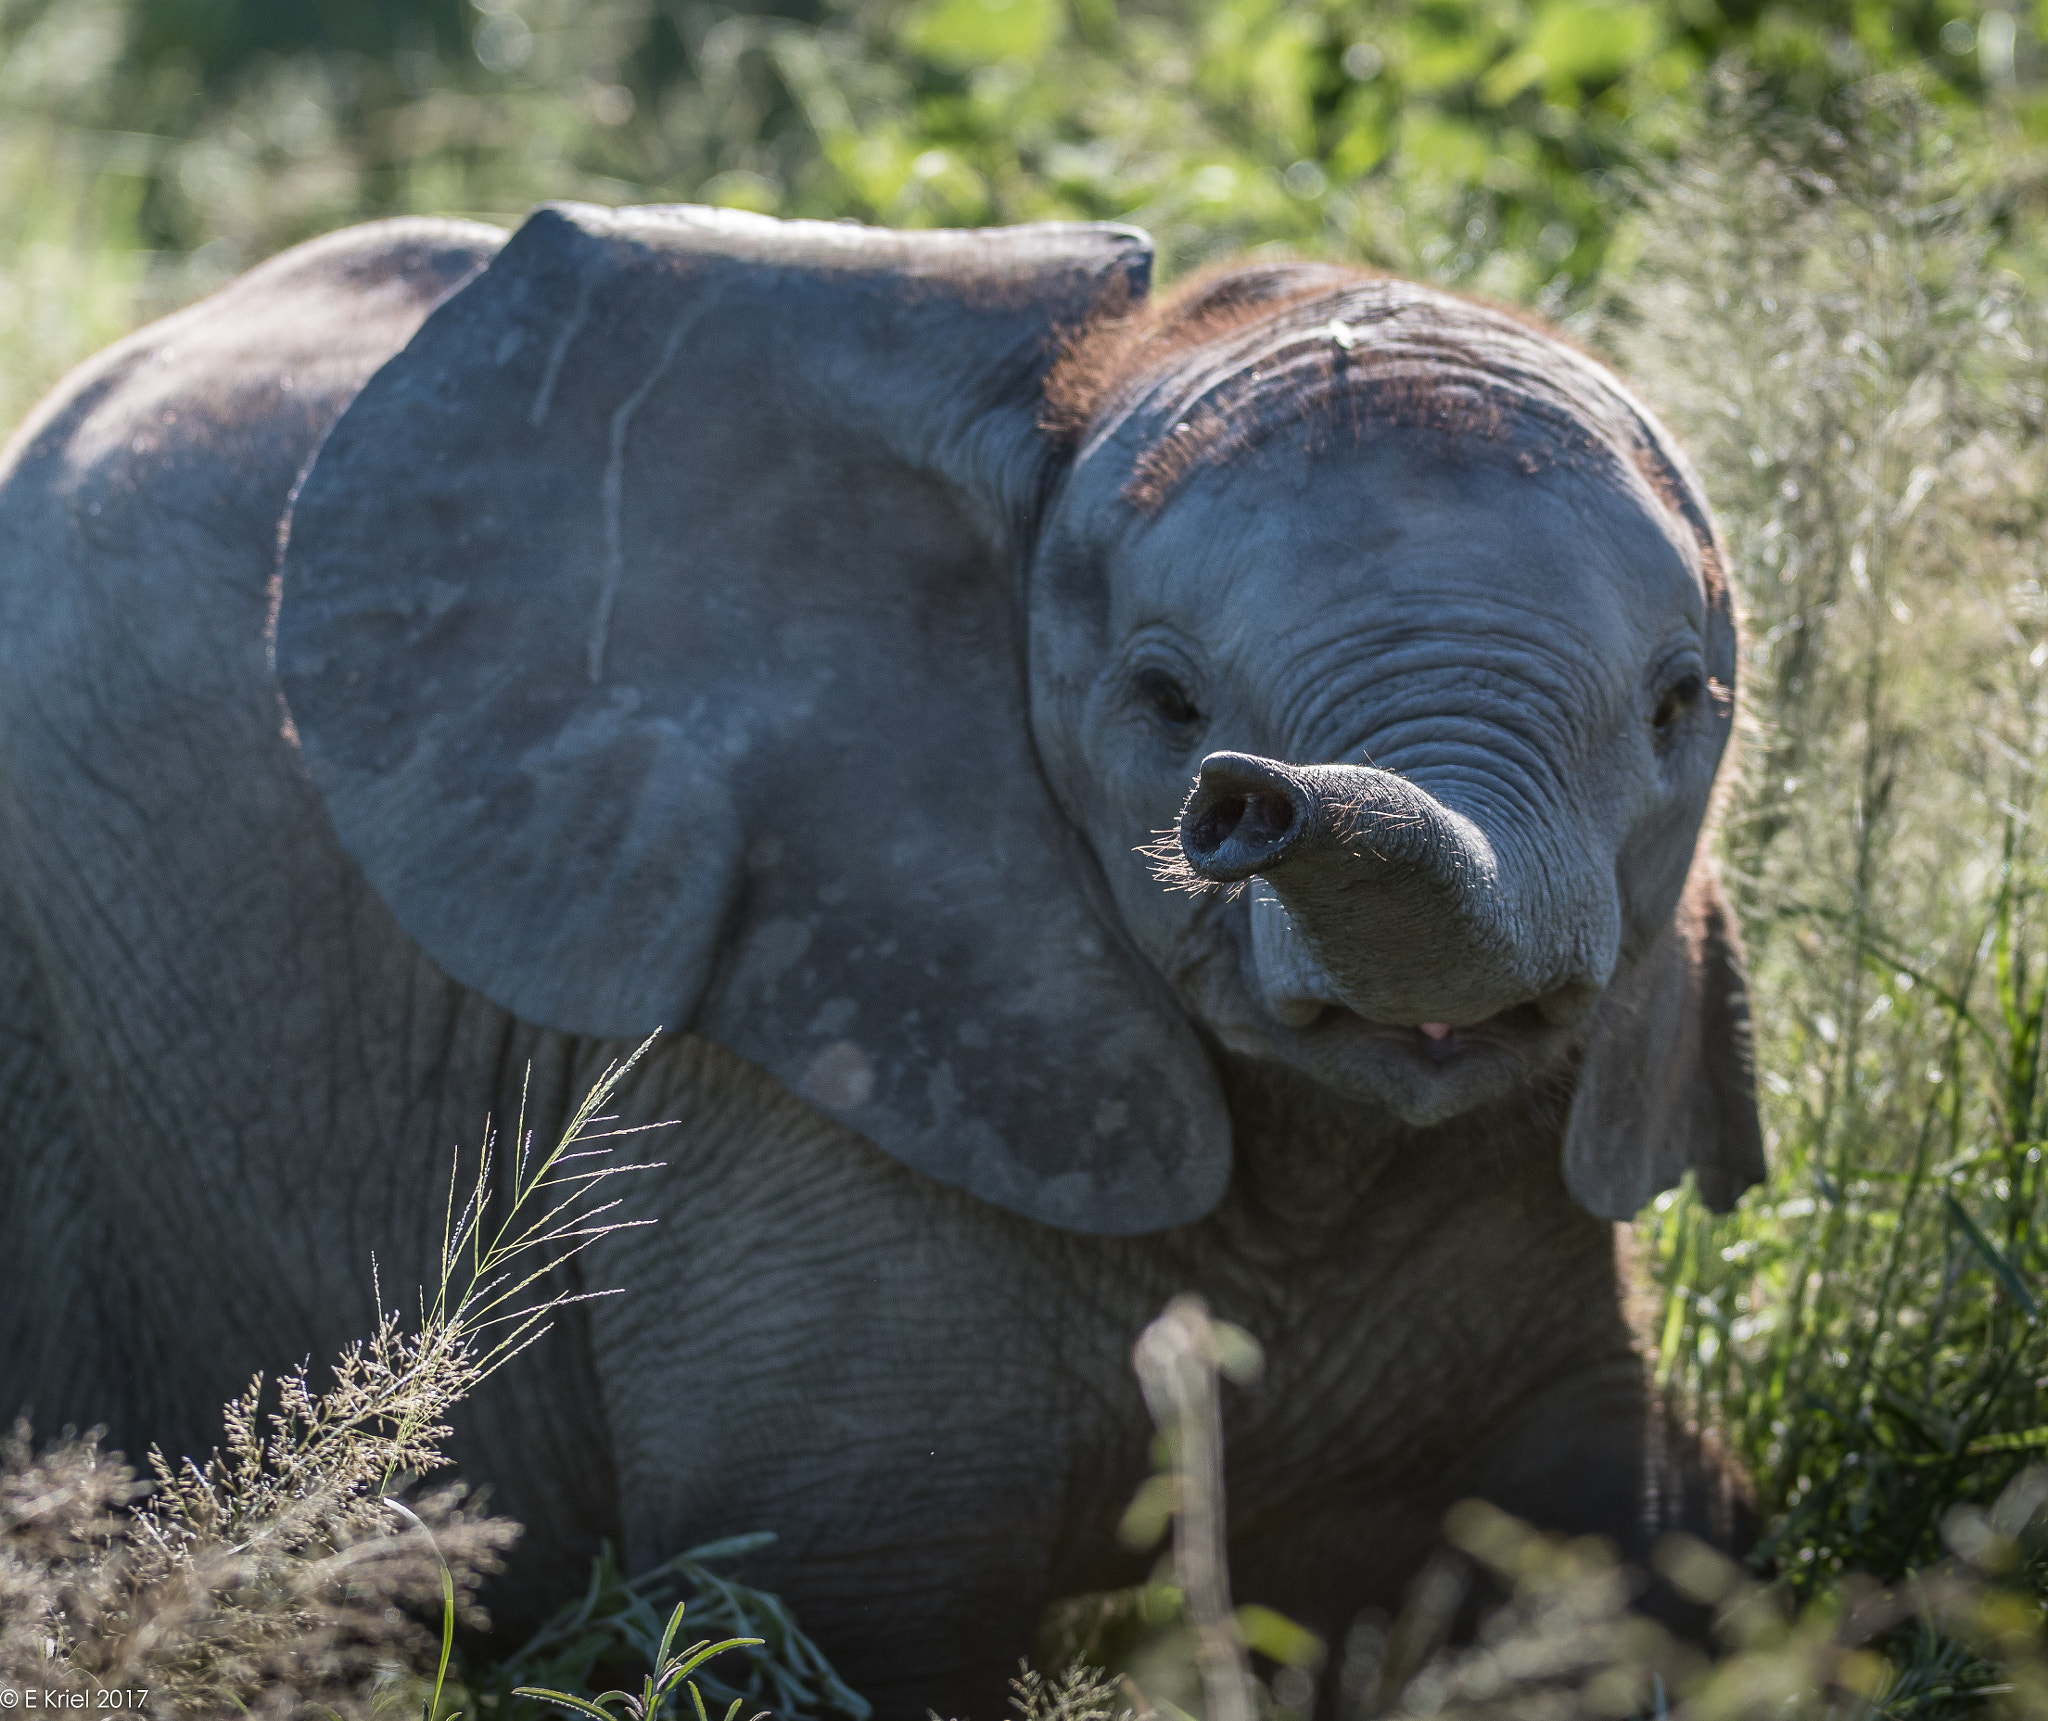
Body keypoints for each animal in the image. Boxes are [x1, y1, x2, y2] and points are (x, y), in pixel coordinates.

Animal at [0, 207, 1761, 1712]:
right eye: (1167, 703)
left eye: (1683, 706)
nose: (1247, 805)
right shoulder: (801, 1044)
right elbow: (857, 1601)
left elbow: (1562, 1571)